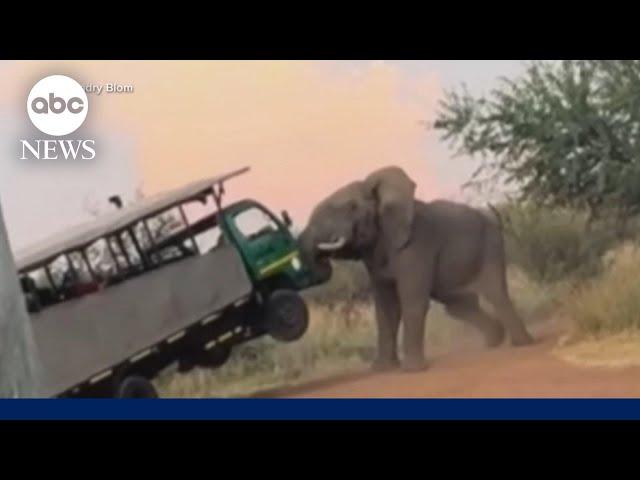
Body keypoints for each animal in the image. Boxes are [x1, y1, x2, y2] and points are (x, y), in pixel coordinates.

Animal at [300, 165, 536, 372]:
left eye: (350, 208)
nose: (323, 260)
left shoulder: (416, 244)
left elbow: (412, 301)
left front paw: (412, 370)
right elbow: (386, 309)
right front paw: (382, 369)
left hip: (491, 245)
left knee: (496, 294)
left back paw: (522, 343)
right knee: (459, 305)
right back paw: (494, 340)